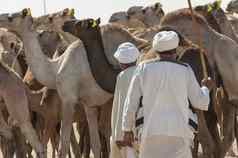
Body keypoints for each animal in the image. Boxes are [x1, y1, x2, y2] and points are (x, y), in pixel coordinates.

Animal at [0, 8, 112, 158]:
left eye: (11, 18)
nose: (38, 21)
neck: (56, 68)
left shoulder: (66, 102)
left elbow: (62, 145)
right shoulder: (83, 105)